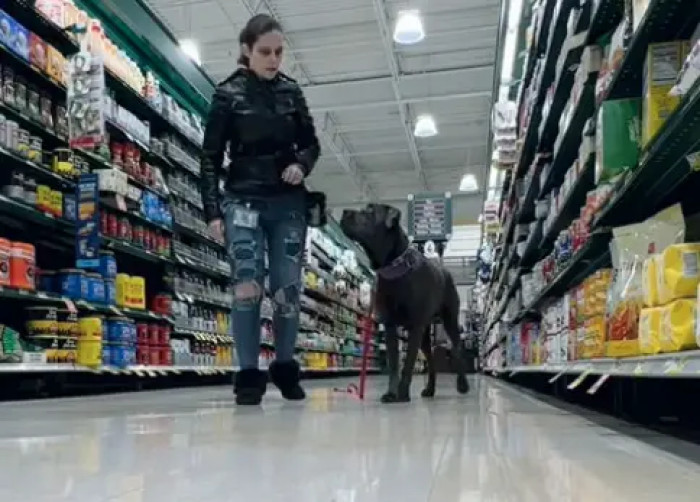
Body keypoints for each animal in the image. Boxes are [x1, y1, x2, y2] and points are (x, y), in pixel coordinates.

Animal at [340, 202, 470, 402]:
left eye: (370, 211)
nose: (344, 211)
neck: (395, 267)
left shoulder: (415, 326)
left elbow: (408, 362)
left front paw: (402, 393)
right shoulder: (390, 326)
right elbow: (394, 363)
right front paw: (392, 393)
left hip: (449, 321)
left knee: (457, 351)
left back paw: (462, 385)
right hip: (425, 334)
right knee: (431, 361)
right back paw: (430, 389)